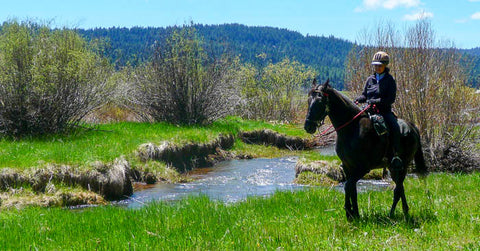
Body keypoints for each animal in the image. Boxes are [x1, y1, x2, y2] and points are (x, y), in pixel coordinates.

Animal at [306, 79, 426, 221]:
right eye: (308, 100)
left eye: (319, 102)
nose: (308, 126)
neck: (352, 129)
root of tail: (413, 127)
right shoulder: (348, 167)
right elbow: (352, 190)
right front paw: (354, 214)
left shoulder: (362, 168)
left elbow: (348, 186)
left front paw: (350, 212)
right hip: (393, 168)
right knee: (400, 188)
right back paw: (405, 212)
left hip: (404, 165)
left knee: (397, 190)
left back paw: (391, 215)